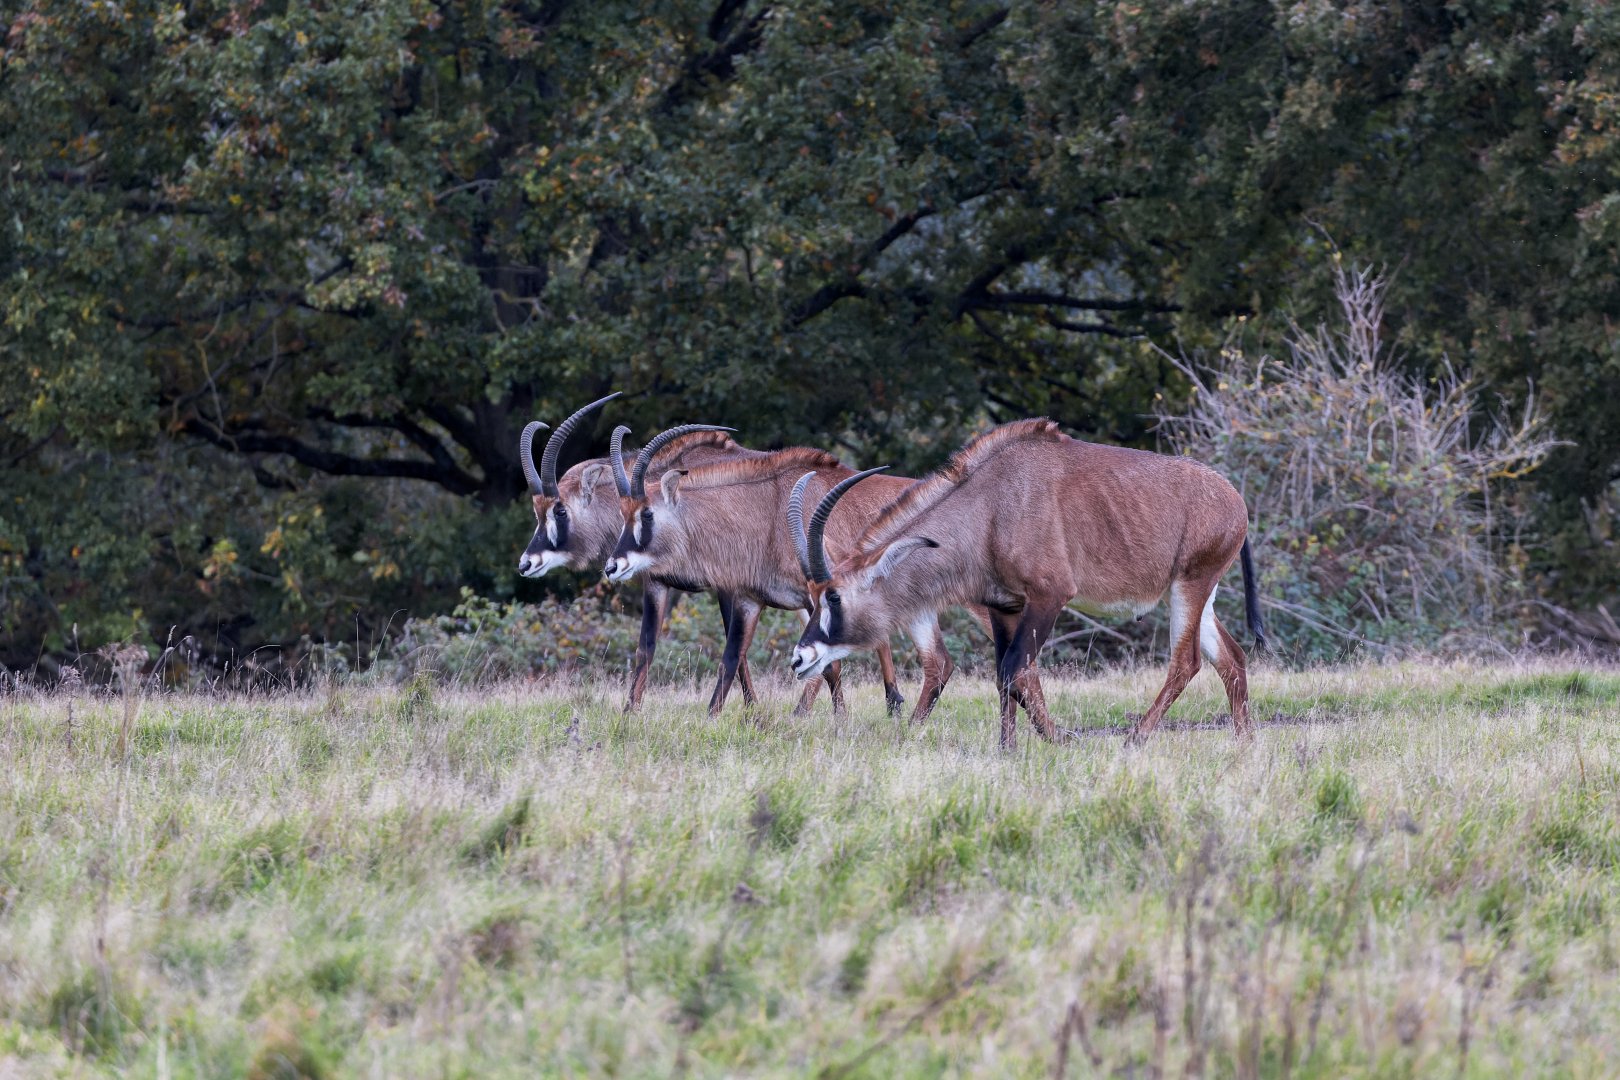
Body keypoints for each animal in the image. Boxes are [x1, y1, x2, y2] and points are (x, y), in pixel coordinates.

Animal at [515, 394, 768, 711]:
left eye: (560, 510)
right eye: (537, 512)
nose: (526, 563)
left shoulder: (728, 584)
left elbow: (737, 648)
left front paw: (753, 711)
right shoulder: (656, 581)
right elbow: (645, 647)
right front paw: (629, 712)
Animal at [601, 426, 967, 721]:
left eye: (647, 513)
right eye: (622, 512)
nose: (612, 566)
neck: (769, 508)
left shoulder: (816, 598)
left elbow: (826, 663)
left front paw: (814, 717)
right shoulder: (750, 598)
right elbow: (732, 656)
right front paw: (710, 717)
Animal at [788, 419, 1267, 749]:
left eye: (834, 596)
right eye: (812, 596)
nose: (799, 658)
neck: (990, 506)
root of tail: (1234, 499)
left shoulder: (1049, 596)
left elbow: (1013, 668)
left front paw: (1044, 742)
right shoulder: (1005, 605)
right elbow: (1003, 674)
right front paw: (1008, 748)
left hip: (1190, 584)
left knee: (1186, 661)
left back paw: (1136, 738)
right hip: (1195, 593)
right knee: (1231, 657)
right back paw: (1243, 744)